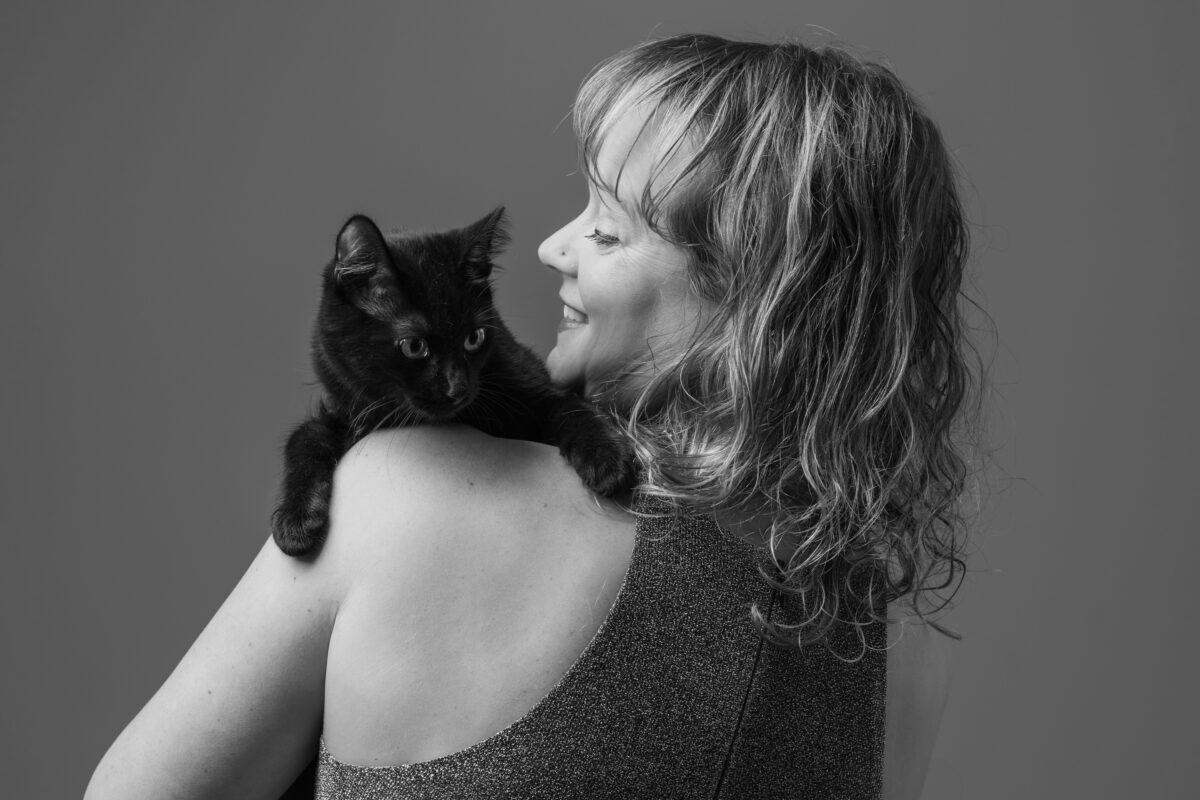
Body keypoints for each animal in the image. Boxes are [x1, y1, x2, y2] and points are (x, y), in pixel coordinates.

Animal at [274, 206, 638, 556]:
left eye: (474, 338)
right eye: (414, 346)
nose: (458, 387)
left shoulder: (530, 382)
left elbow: (568, 407)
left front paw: (606, 459)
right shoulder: (349, 411)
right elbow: (305, 437)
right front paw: (296, 521)